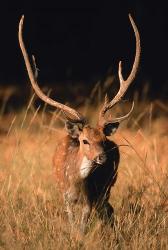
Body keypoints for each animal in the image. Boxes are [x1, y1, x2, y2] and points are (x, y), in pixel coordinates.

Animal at [18, 13, 140, 232]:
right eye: (85, 140)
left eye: (103, 140)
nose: (102, 157)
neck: (75, 183)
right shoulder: (65, 198)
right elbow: (73, 225)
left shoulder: (89, 201)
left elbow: (82, 228)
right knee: (107, 211)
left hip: (109, 185)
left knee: (109, 210)